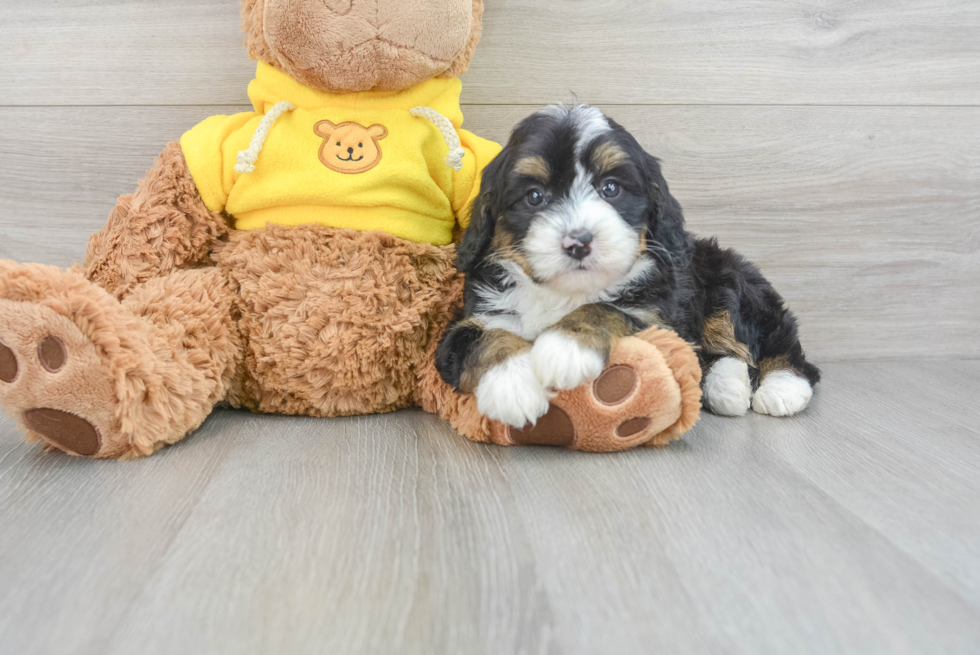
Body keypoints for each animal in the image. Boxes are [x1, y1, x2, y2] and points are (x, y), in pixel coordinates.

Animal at [436, 105, 820, 428]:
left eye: (610, 188)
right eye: (534, 196)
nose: (578, 241)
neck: (565, 293)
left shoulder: (657, 318)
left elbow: (606, 309)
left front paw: (565, 347)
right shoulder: (472, 320)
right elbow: (485, 340)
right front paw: (513, 385)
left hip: (733, 281)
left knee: (777, 343)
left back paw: (781, 389)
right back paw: (727, 388)